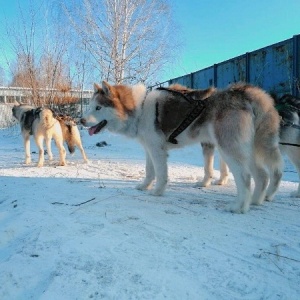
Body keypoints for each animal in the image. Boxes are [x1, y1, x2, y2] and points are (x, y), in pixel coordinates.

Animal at [81, 82, 282, 213]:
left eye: (98, 108)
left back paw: (239, 207)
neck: (139, 108)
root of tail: (243, 92)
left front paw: (157, 192)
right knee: (262, 176)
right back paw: (256, 201)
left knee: (246, 178)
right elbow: (149, 172)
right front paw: (144, 186)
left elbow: (161, 175)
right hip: (249, 151)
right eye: (90, 106)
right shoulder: (149, 149)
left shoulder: (158, 151)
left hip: (230, 150)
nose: (81, 120)